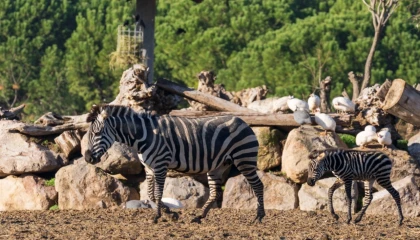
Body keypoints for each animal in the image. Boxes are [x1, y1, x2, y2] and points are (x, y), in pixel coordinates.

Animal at [83, 104, 264, 223]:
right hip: (219, 166)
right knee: (215, 193)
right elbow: (150, 195)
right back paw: (199, 217)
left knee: (258, 185)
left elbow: (157, 194)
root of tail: (242, 120)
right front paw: (171, 214)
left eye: (97, 133)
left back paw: (259, 217)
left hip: (244, 159)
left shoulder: (161, 165)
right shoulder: (149, 168)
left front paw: (157, 216)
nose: (87, 158)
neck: (143, 135)